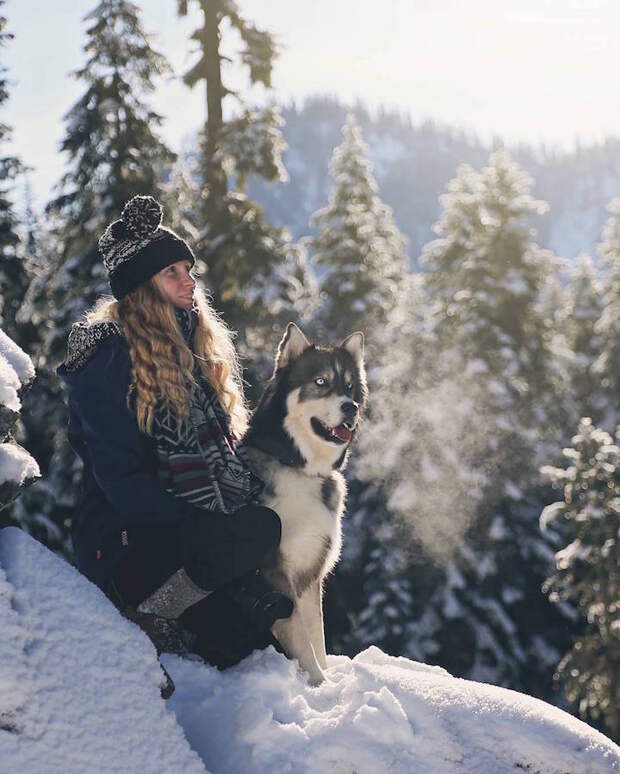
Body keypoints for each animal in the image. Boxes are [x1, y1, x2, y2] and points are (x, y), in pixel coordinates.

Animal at [242, 322, 368, 684]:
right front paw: (319, 684)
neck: (302, 470)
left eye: (350, 386)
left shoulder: (312, 575)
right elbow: (301, 637)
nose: (351, 407)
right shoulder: (277, 572)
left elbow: (317, 636)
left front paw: (327, 679)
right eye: (321, 382)